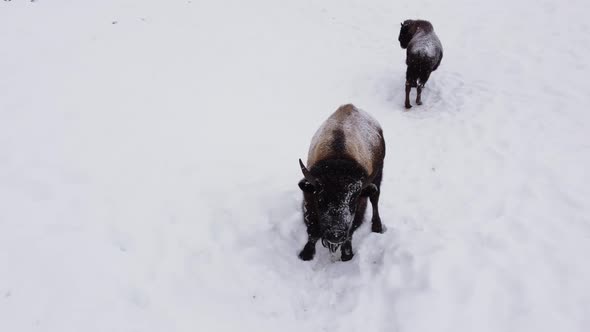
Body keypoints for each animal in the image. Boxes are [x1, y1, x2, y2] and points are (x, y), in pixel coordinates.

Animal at [298, 104, 386, 262]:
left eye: (353, 199)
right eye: (320, 198)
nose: (336, 234)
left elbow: (350, 234)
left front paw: (347, 255)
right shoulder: (309, 203)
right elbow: (313, 232)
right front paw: (306, 254)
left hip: (378, 176)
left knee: (375, 199)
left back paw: (377, 226)